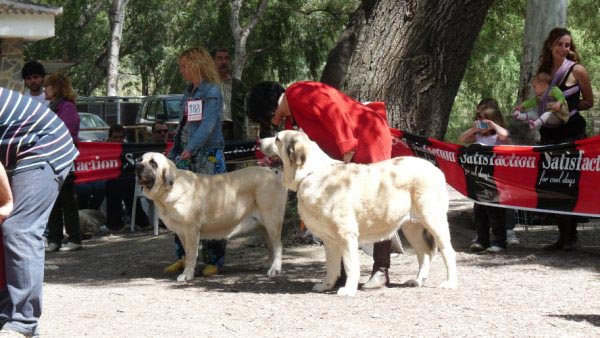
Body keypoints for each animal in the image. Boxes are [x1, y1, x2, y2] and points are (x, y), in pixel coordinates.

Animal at [135, 152, 288, 282]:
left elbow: (191, 254)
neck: (169, 189)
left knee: (278, 245)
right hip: (263, 226)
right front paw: (193, 271)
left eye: (153, 163)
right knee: (271, 246)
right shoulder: (182, 233)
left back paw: (275, 269)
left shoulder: (191, 230)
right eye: (140, 159)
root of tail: (274, 173)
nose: (137, 166)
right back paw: (270, 265)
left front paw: (187, 274)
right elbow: (186, 255)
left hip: (271, 221)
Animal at [260, 131, 458, 298]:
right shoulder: (329, 240)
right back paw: (416, 281)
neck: (310, 173)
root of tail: (434, 168)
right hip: (412, 227)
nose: (259, 142)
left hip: (434, 220)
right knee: (423, 254)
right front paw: (326, 285)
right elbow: (331, 266)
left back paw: (450, 282)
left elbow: (350, 265)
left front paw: (348, 289)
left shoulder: (346, 235)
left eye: (277, 139)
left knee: (448, 251)